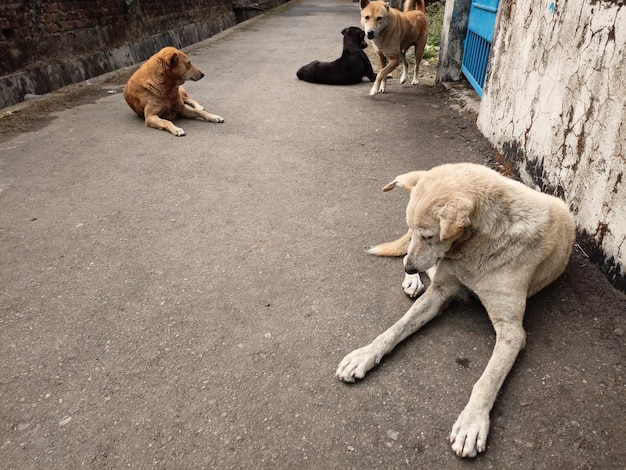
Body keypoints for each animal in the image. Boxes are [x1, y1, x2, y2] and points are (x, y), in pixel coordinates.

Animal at [336, 163, 576, 458]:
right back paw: (413, 281)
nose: (408, 267)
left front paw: (471, 423)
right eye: (416, 231)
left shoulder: (511, 331)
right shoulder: (439, 291)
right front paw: (365, 355)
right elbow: (394, 330)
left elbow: (487, 380)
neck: (478, 244)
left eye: (429, 236)